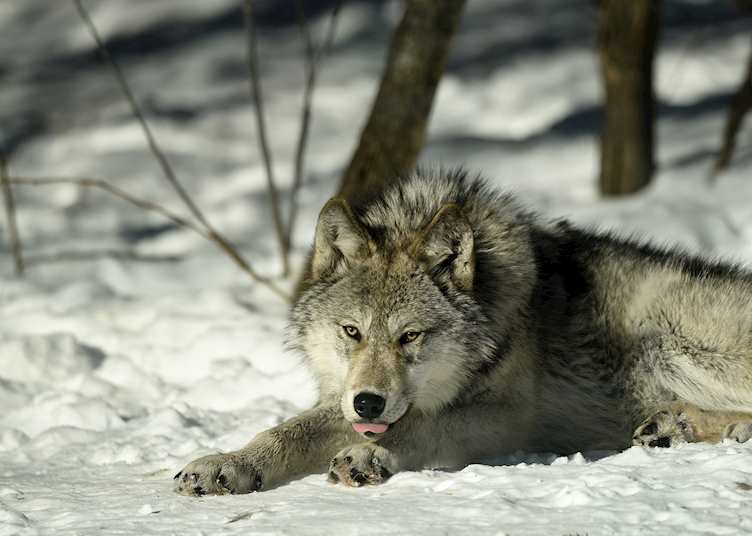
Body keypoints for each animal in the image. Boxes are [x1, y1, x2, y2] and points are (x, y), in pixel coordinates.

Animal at [174, 168, 752, 495]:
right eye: (352, 331)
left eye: (410, 336)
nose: (367, 403)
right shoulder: (341, 399)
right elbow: (285, 431)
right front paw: (226, 464)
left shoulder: (507, 416)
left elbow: (423, 427)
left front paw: (370, 456)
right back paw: (674, 425)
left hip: (669, 336)